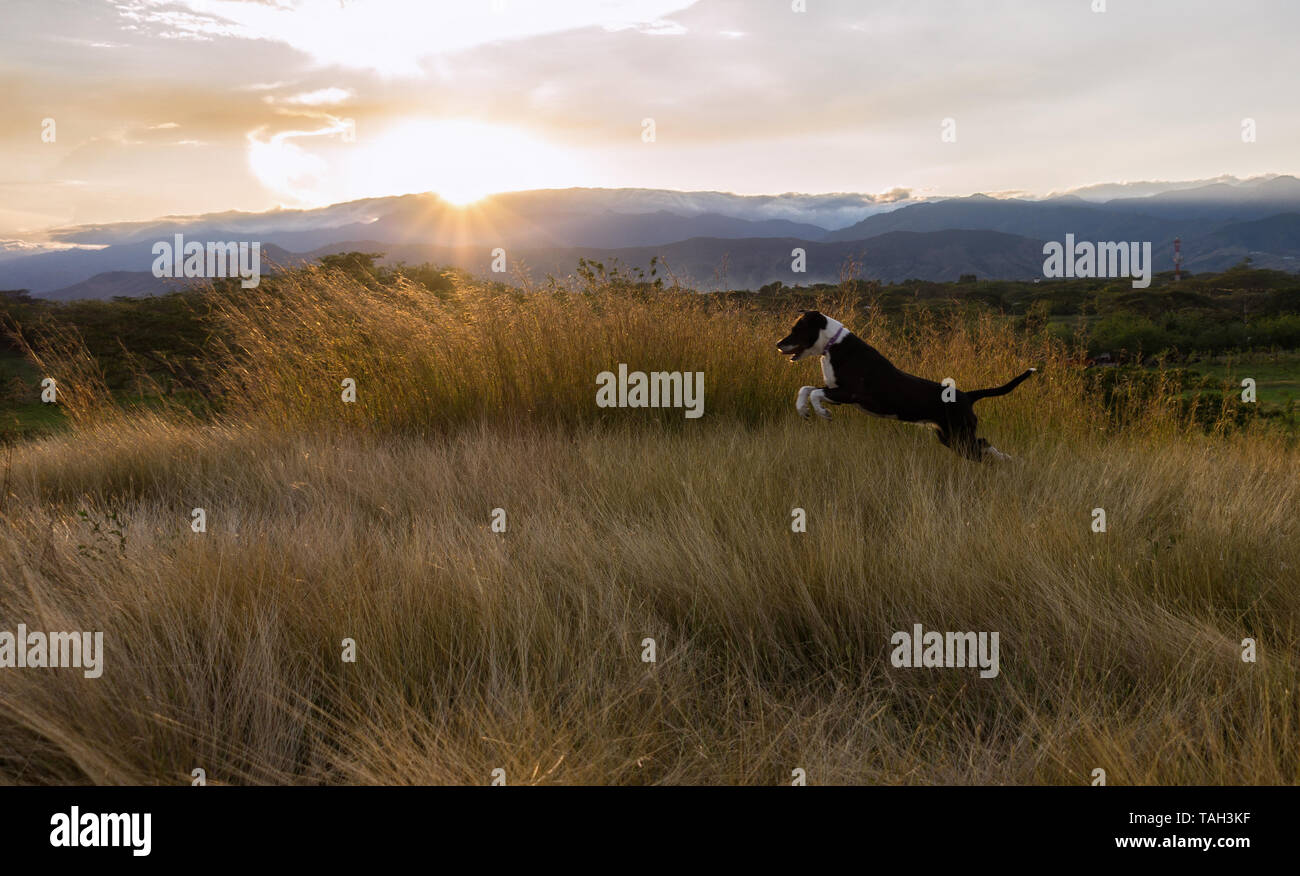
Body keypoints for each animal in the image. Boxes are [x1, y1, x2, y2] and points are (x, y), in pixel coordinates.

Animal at [769, 306, 1034, 460]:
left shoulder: (851, 393)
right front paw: (803, 410)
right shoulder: (836, 391)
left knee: (983, 448)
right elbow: (806, 389)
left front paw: (822, 413)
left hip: (960, 436)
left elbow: (815, 394)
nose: (778, 344)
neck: (833, 345)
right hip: (949, 437)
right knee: (984, 446)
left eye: (797, 329)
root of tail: (968, 395)